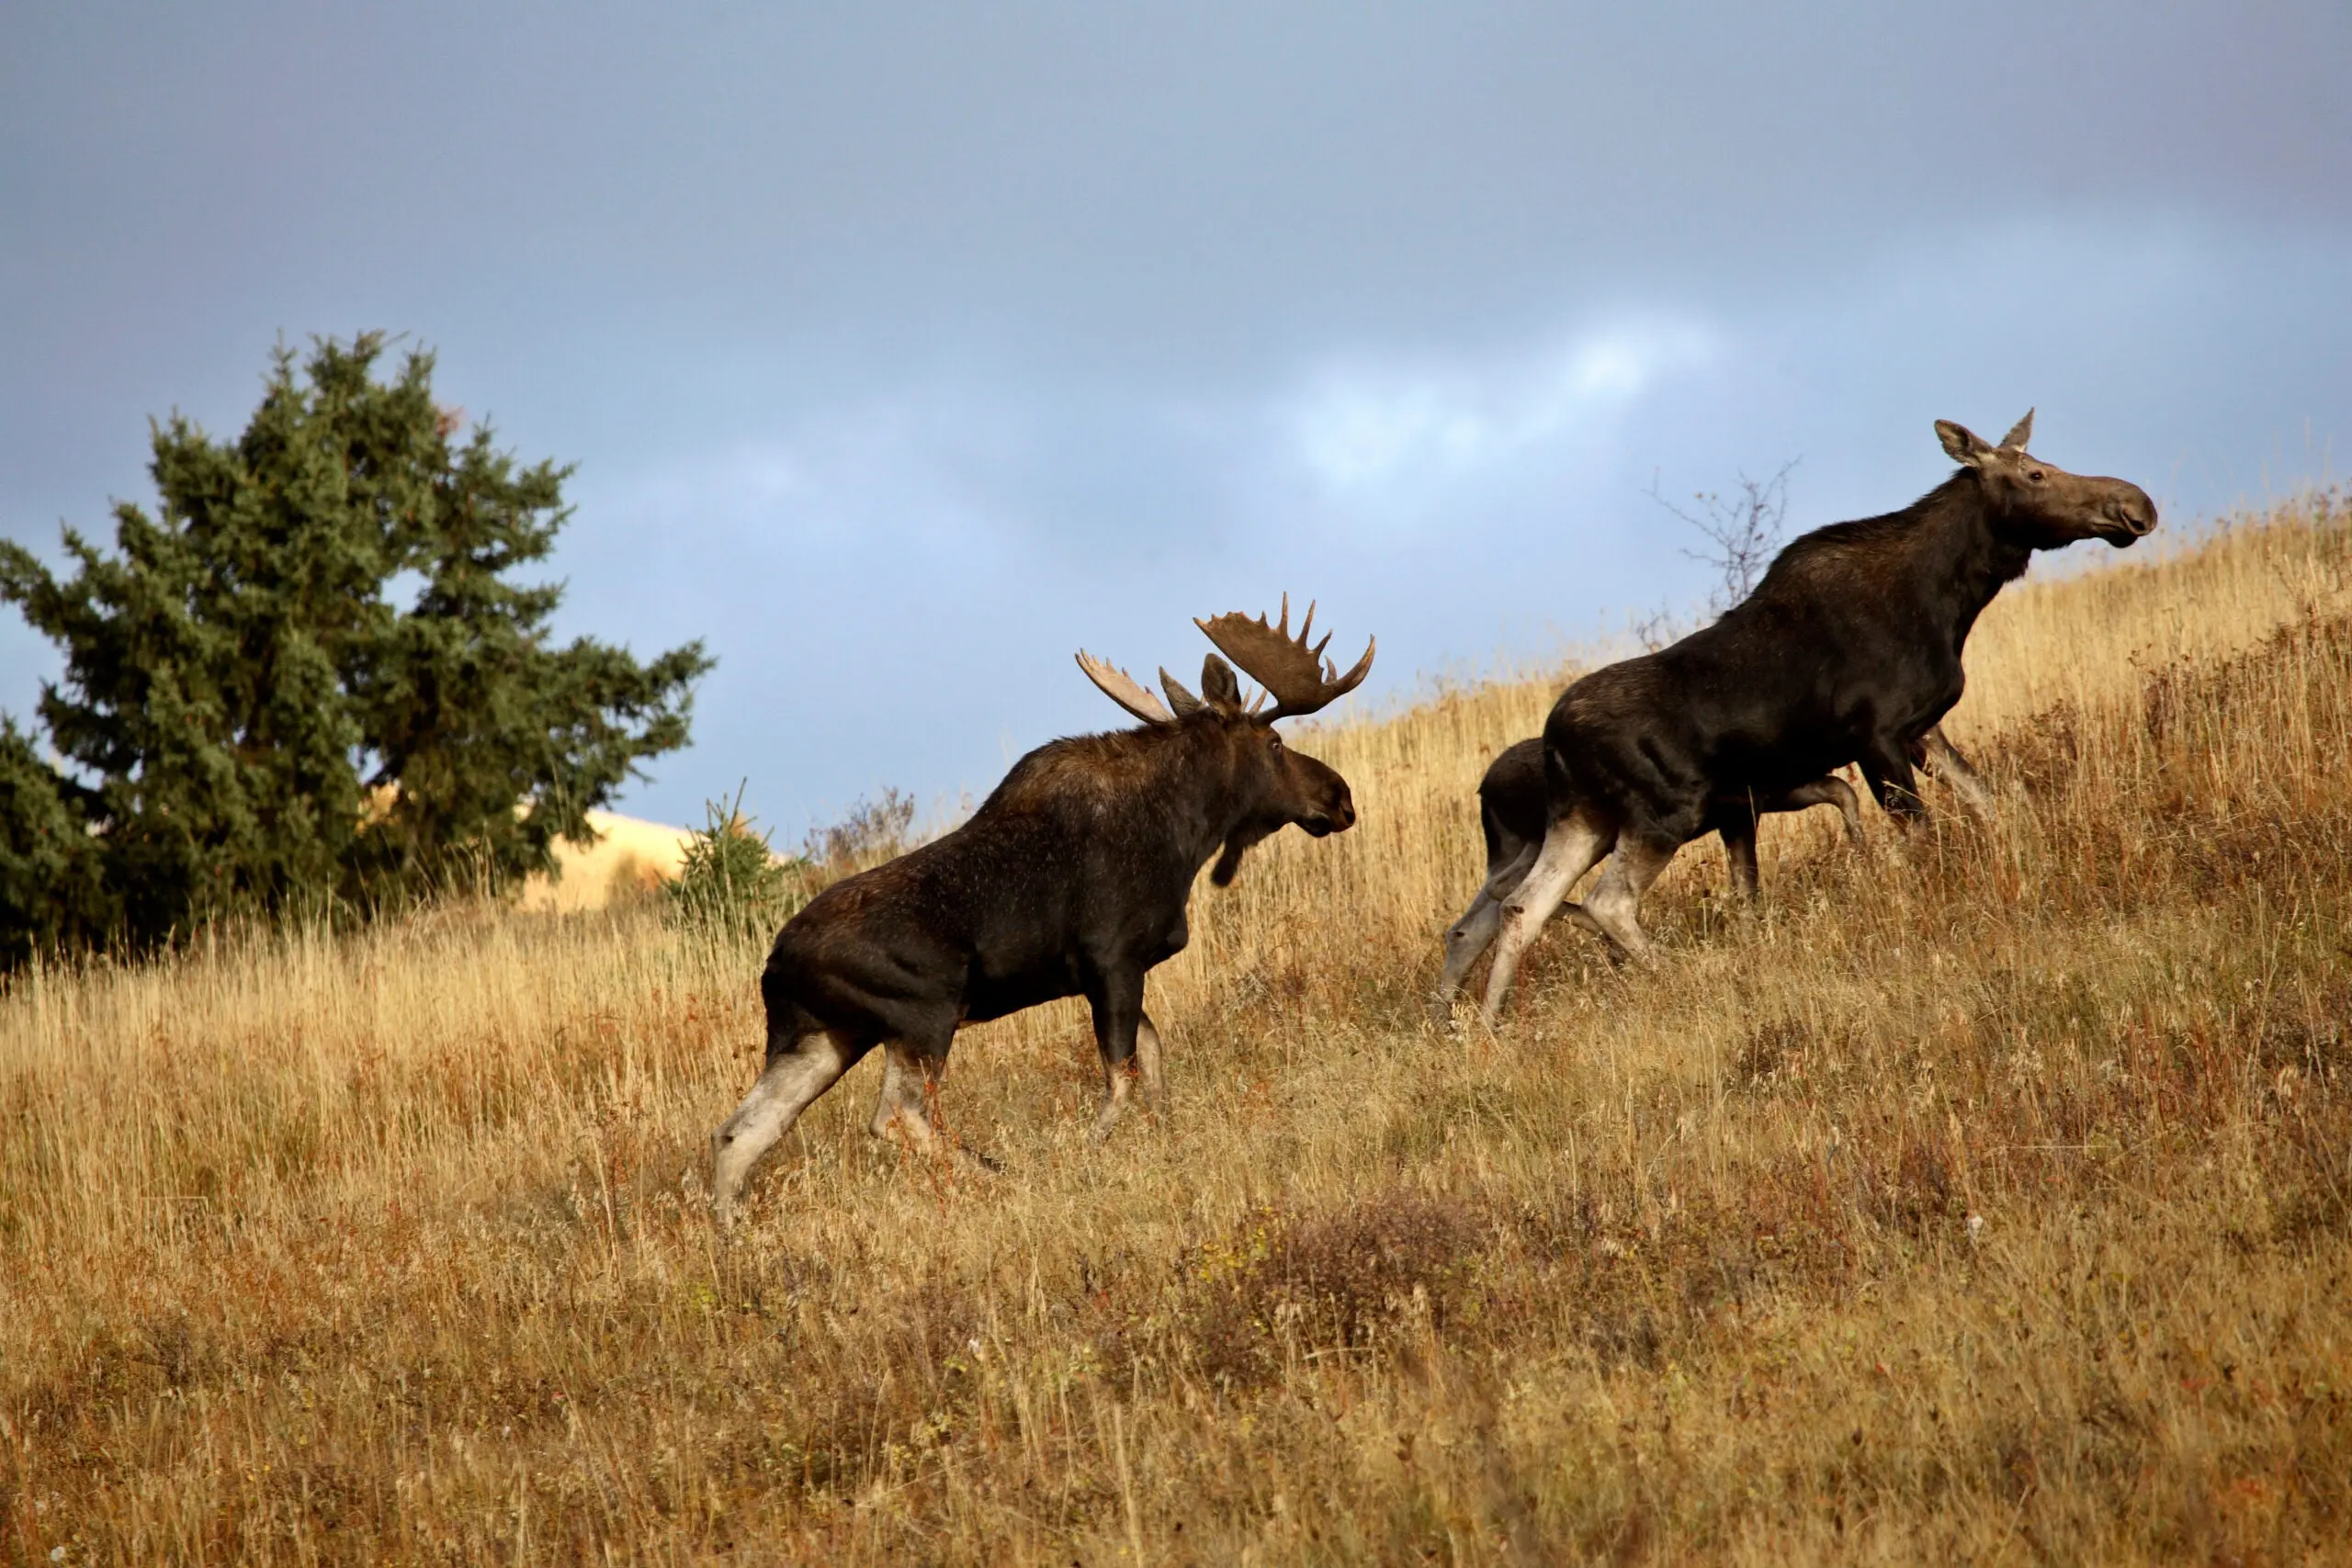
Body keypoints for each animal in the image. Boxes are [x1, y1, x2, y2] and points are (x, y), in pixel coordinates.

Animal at [715, 602, 1374, 1222]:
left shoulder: (1109, 973)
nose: (1340, 796)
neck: (1185, 834)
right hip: (922, 1013)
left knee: (739, 1130)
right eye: (1276, 743)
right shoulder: (1111, 960)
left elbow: (1154, 1067)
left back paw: (731, 1227)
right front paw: (1087, 1156)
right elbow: (1122, 1080)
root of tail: (776, 964)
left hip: (825, 1034)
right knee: (897, 1116)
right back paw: (1000, 1175)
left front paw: (1168, 1143)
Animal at [1476, 411, 2154, 1024]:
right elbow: (1923, 834)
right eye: (2036, 473)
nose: (2136, 504)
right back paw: (1683, 977)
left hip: (1583, 820)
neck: (1949, 599)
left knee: (1522, 906)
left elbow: (1991, 802)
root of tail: (1555, 740)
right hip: (1663, 813)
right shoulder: (1878, 737)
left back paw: (1488, 1021)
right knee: (1606, 903)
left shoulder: (1922, 729)